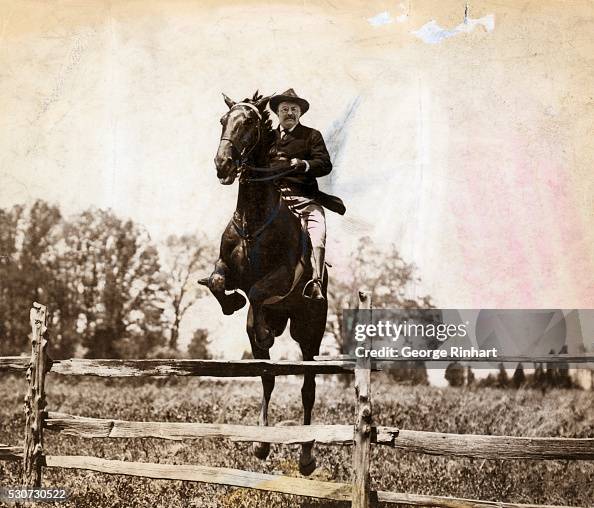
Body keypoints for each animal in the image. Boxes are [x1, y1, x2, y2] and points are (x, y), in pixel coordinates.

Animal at [199, 91, 328, 476]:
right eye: (223, 121)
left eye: (250, 124)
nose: (222, 165)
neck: (253, 218)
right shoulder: (227, 268)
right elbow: (217, 282)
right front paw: (233, 303)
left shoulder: (282, 276)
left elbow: (257, 290)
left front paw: (261, 327)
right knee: (267, 375)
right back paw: (261, 443)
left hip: (308, 333)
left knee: (308, 387)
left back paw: (306, 456)